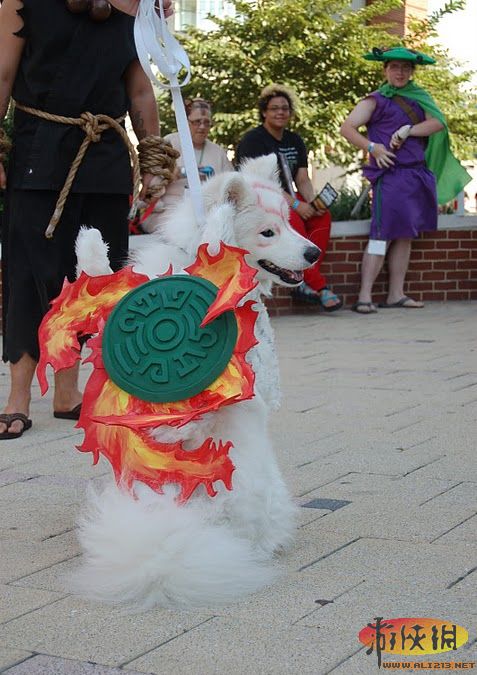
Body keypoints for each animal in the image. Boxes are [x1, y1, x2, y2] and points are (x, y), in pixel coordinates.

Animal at [73, 156, 320, 608]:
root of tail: (185, 518)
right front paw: (91, 243)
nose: (314, 252)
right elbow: (99, 289)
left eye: (290, 223)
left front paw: (219, 226)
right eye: (269, 232)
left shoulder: (253, 381)